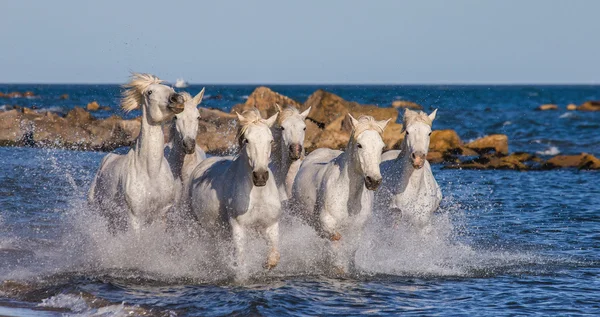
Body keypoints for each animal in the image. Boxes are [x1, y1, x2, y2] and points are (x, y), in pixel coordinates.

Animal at [88, 74, 184, 232]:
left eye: (171, 88)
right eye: (150, 92)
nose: (178, 99)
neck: (150, 172)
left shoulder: (160, 214)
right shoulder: (134, 217)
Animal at [190, 108, 282, 270]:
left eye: (270, 140)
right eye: (247, 140)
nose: (260, 176)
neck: (257, 196)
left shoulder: (271, 225)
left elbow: (274, 256)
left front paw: (266, 264)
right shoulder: (238, 227)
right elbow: (241, 261)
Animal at [290, 114, 390, 272]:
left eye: (382, 147)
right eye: (359, 145)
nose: (373, 180)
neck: (348, 198)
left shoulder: (357, 230)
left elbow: (351, 249)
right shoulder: (328, 225)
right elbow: (336, 243)